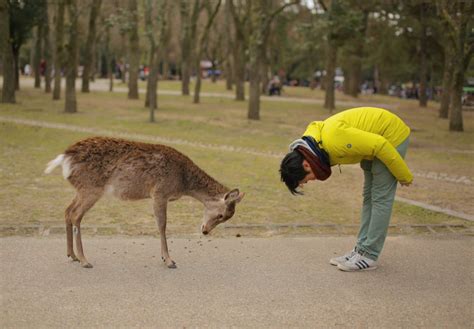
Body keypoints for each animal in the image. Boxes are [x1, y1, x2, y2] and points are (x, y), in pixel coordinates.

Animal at [44, 136, 244, 266]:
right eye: (221, 214)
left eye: (228, 217)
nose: (205, 231)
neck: (183, 182)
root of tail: (64, 158)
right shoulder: (159, 192)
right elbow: (162, 225)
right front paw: (169, 260)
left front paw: (165, 258)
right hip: (91, 188)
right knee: (76, 215)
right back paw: (85, 260)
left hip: (82, 189)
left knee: (68, 211)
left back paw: (72, 255)